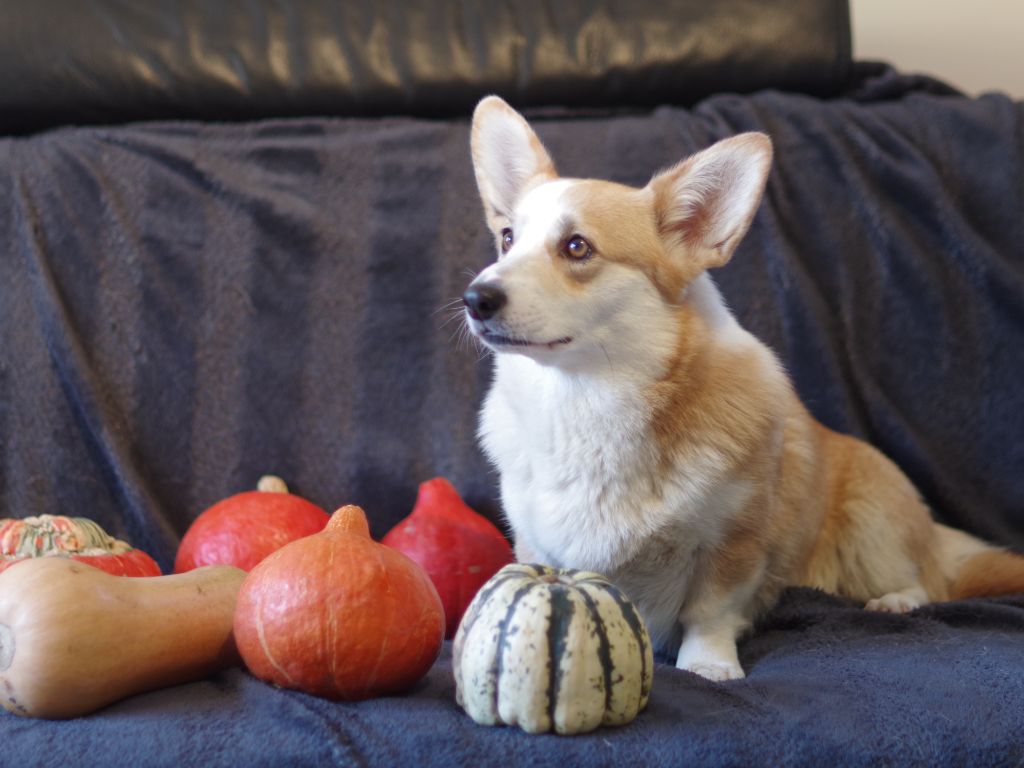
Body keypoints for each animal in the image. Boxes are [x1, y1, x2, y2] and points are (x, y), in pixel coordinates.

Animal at [464, 94, 1024, 679]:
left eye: (577, 247)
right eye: (507, 239)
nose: (475, 298)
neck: (584, 398)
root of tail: (937, 534)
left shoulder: (734, 543)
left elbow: (710, 611)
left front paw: (709, 667)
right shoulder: (535, 544)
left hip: (874, 523)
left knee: (927, 583)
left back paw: (894, 601)